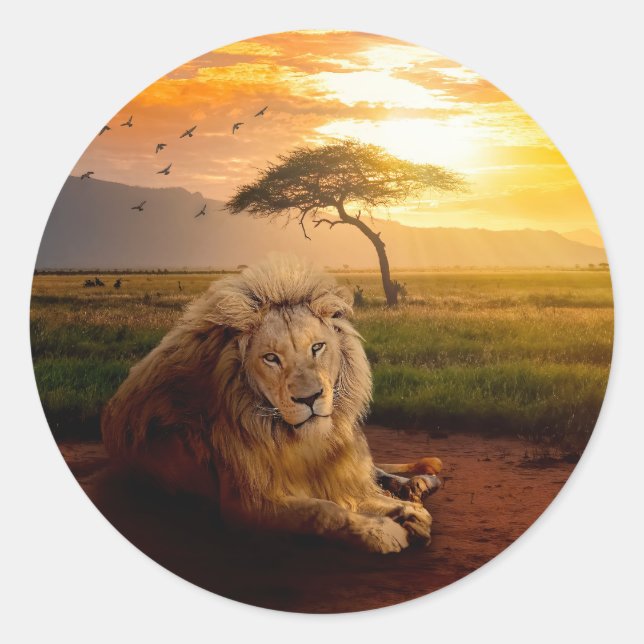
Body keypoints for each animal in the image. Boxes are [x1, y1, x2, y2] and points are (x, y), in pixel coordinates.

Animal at [101, 255, 434, 553]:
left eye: (317, 347)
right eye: (271, 358)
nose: (309, 398)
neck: (293, 440)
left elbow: (359, 492)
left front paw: (405, 511)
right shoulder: (244, 507)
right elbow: (323, 510)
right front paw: (383, 530)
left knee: (376, 470)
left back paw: (418, 484)